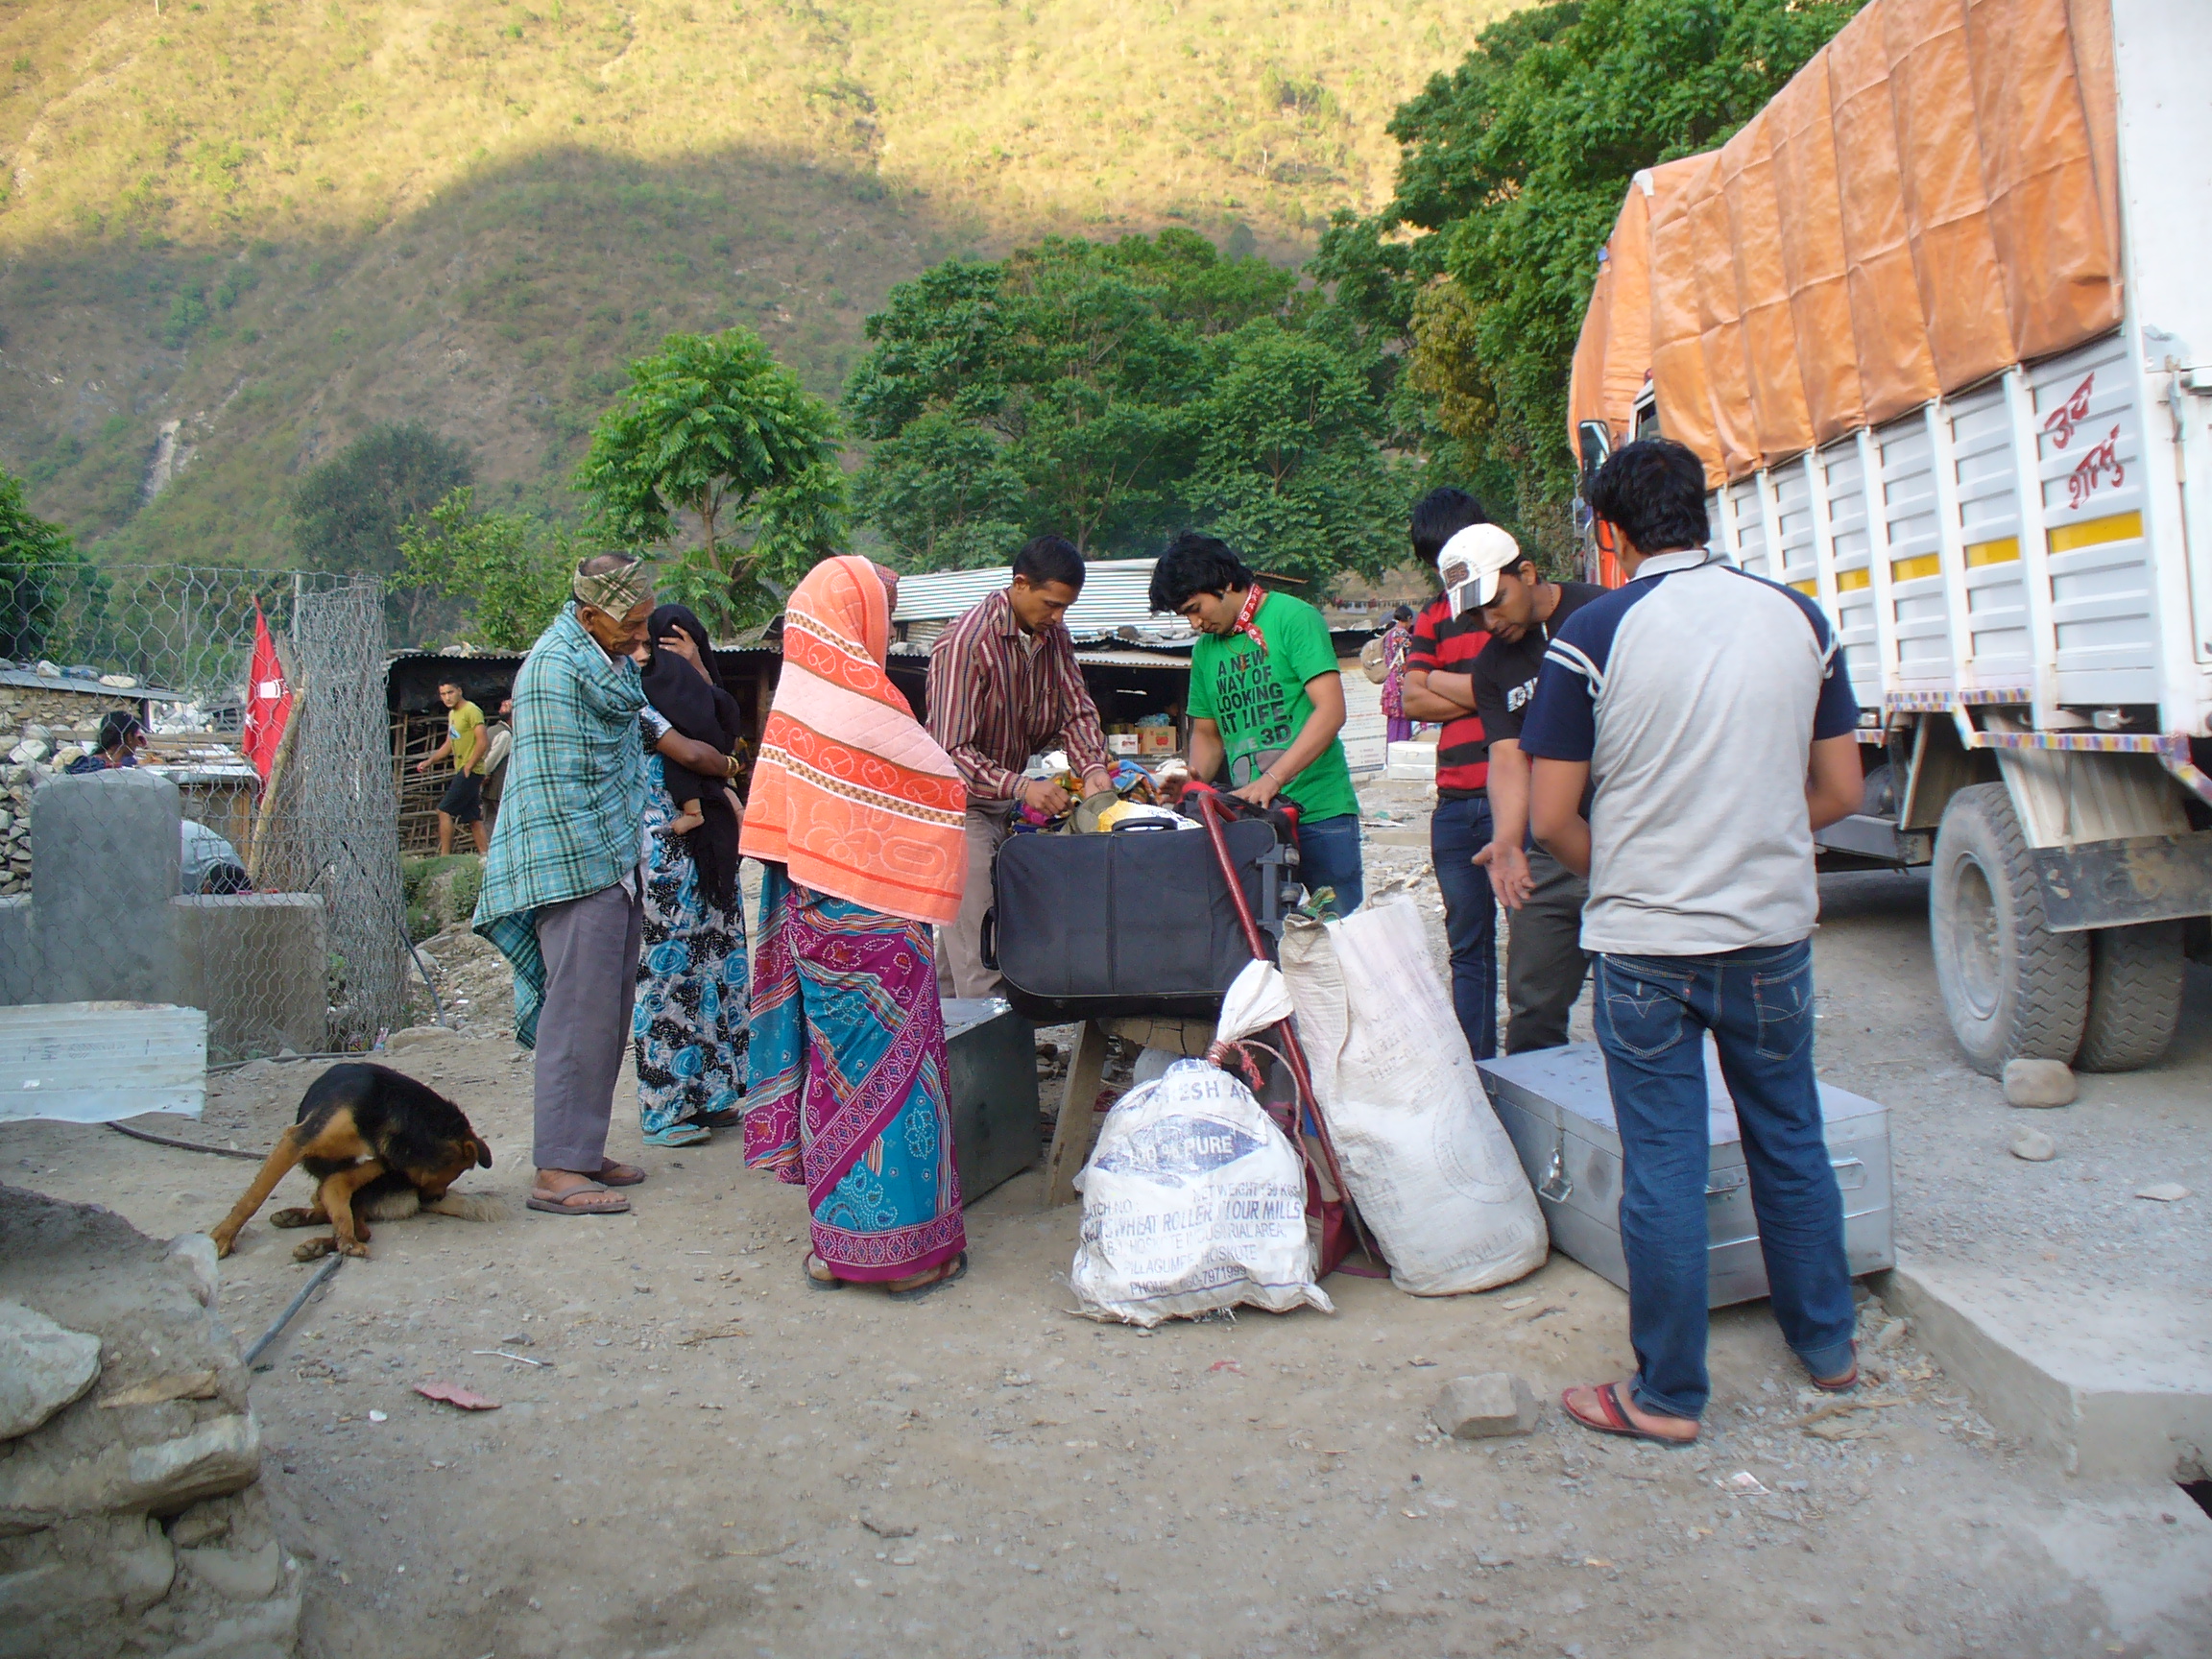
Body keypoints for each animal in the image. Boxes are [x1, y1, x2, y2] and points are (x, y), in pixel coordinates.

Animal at [210, 1063, 498, 1262]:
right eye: (453, 1174)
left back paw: (312, 1238)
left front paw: (345, 1239)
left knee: (353, 1219)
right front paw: (222, 1237)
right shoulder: (297, 1140)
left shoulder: (381, 1161)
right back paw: (298, 1221)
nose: (435, 1198)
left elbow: (340, 1204)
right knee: (330, 1204)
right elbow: (253, 1198)